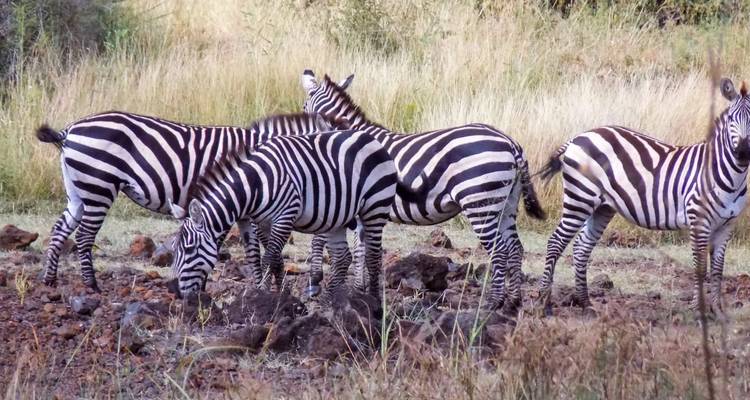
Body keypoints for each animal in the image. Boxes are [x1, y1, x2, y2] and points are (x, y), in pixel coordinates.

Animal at [35, 111, 339, 291]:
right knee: (84, 236)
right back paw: (91, 285)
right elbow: (260, 247)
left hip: (78, 191)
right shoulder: (239, 206)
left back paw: (50, 280)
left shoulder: (243, 210)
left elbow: (254, 250)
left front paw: (262, 286)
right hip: (98, 187)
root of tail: (69, 130)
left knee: (60, 229)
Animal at [168, 126, 425, 300]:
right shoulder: (261, 221)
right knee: (343, 258)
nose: (180, 295)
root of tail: (373, 139)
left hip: (375, 207)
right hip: (339, 215)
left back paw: (372, 303)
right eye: (175, 251)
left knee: (373, 256)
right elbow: (267, 258)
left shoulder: (285, 215)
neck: (254, 186)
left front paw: (261, 295)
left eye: (189, 249)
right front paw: (277, 294)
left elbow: (269, 257)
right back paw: (329, 302)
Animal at [300, 70, 546, 313]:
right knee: (515, 248)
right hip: (506, 204)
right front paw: (360, 290)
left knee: (500, 251)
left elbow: (323, 240)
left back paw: (493, 303)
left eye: (304, 106)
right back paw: (513, 302)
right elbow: (361, 248)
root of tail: (510, 143)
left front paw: (316, 283)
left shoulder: (341, 196)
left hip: (480, 204)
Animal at [537, 78, 750, 316]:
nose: (743, 153)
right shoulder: (699, 221)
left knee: (582, 247)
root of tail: (578, 137)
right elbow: (700, 268)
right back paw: (544, 303)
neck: (731, 177)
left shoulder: (726, 226)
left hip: (602, 207)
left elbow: (717, 270)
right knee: (555, 242)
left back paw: (586, 304)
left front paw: (718, 312)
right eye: (731, 119)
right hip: (580, 199)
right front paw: (699, 311)